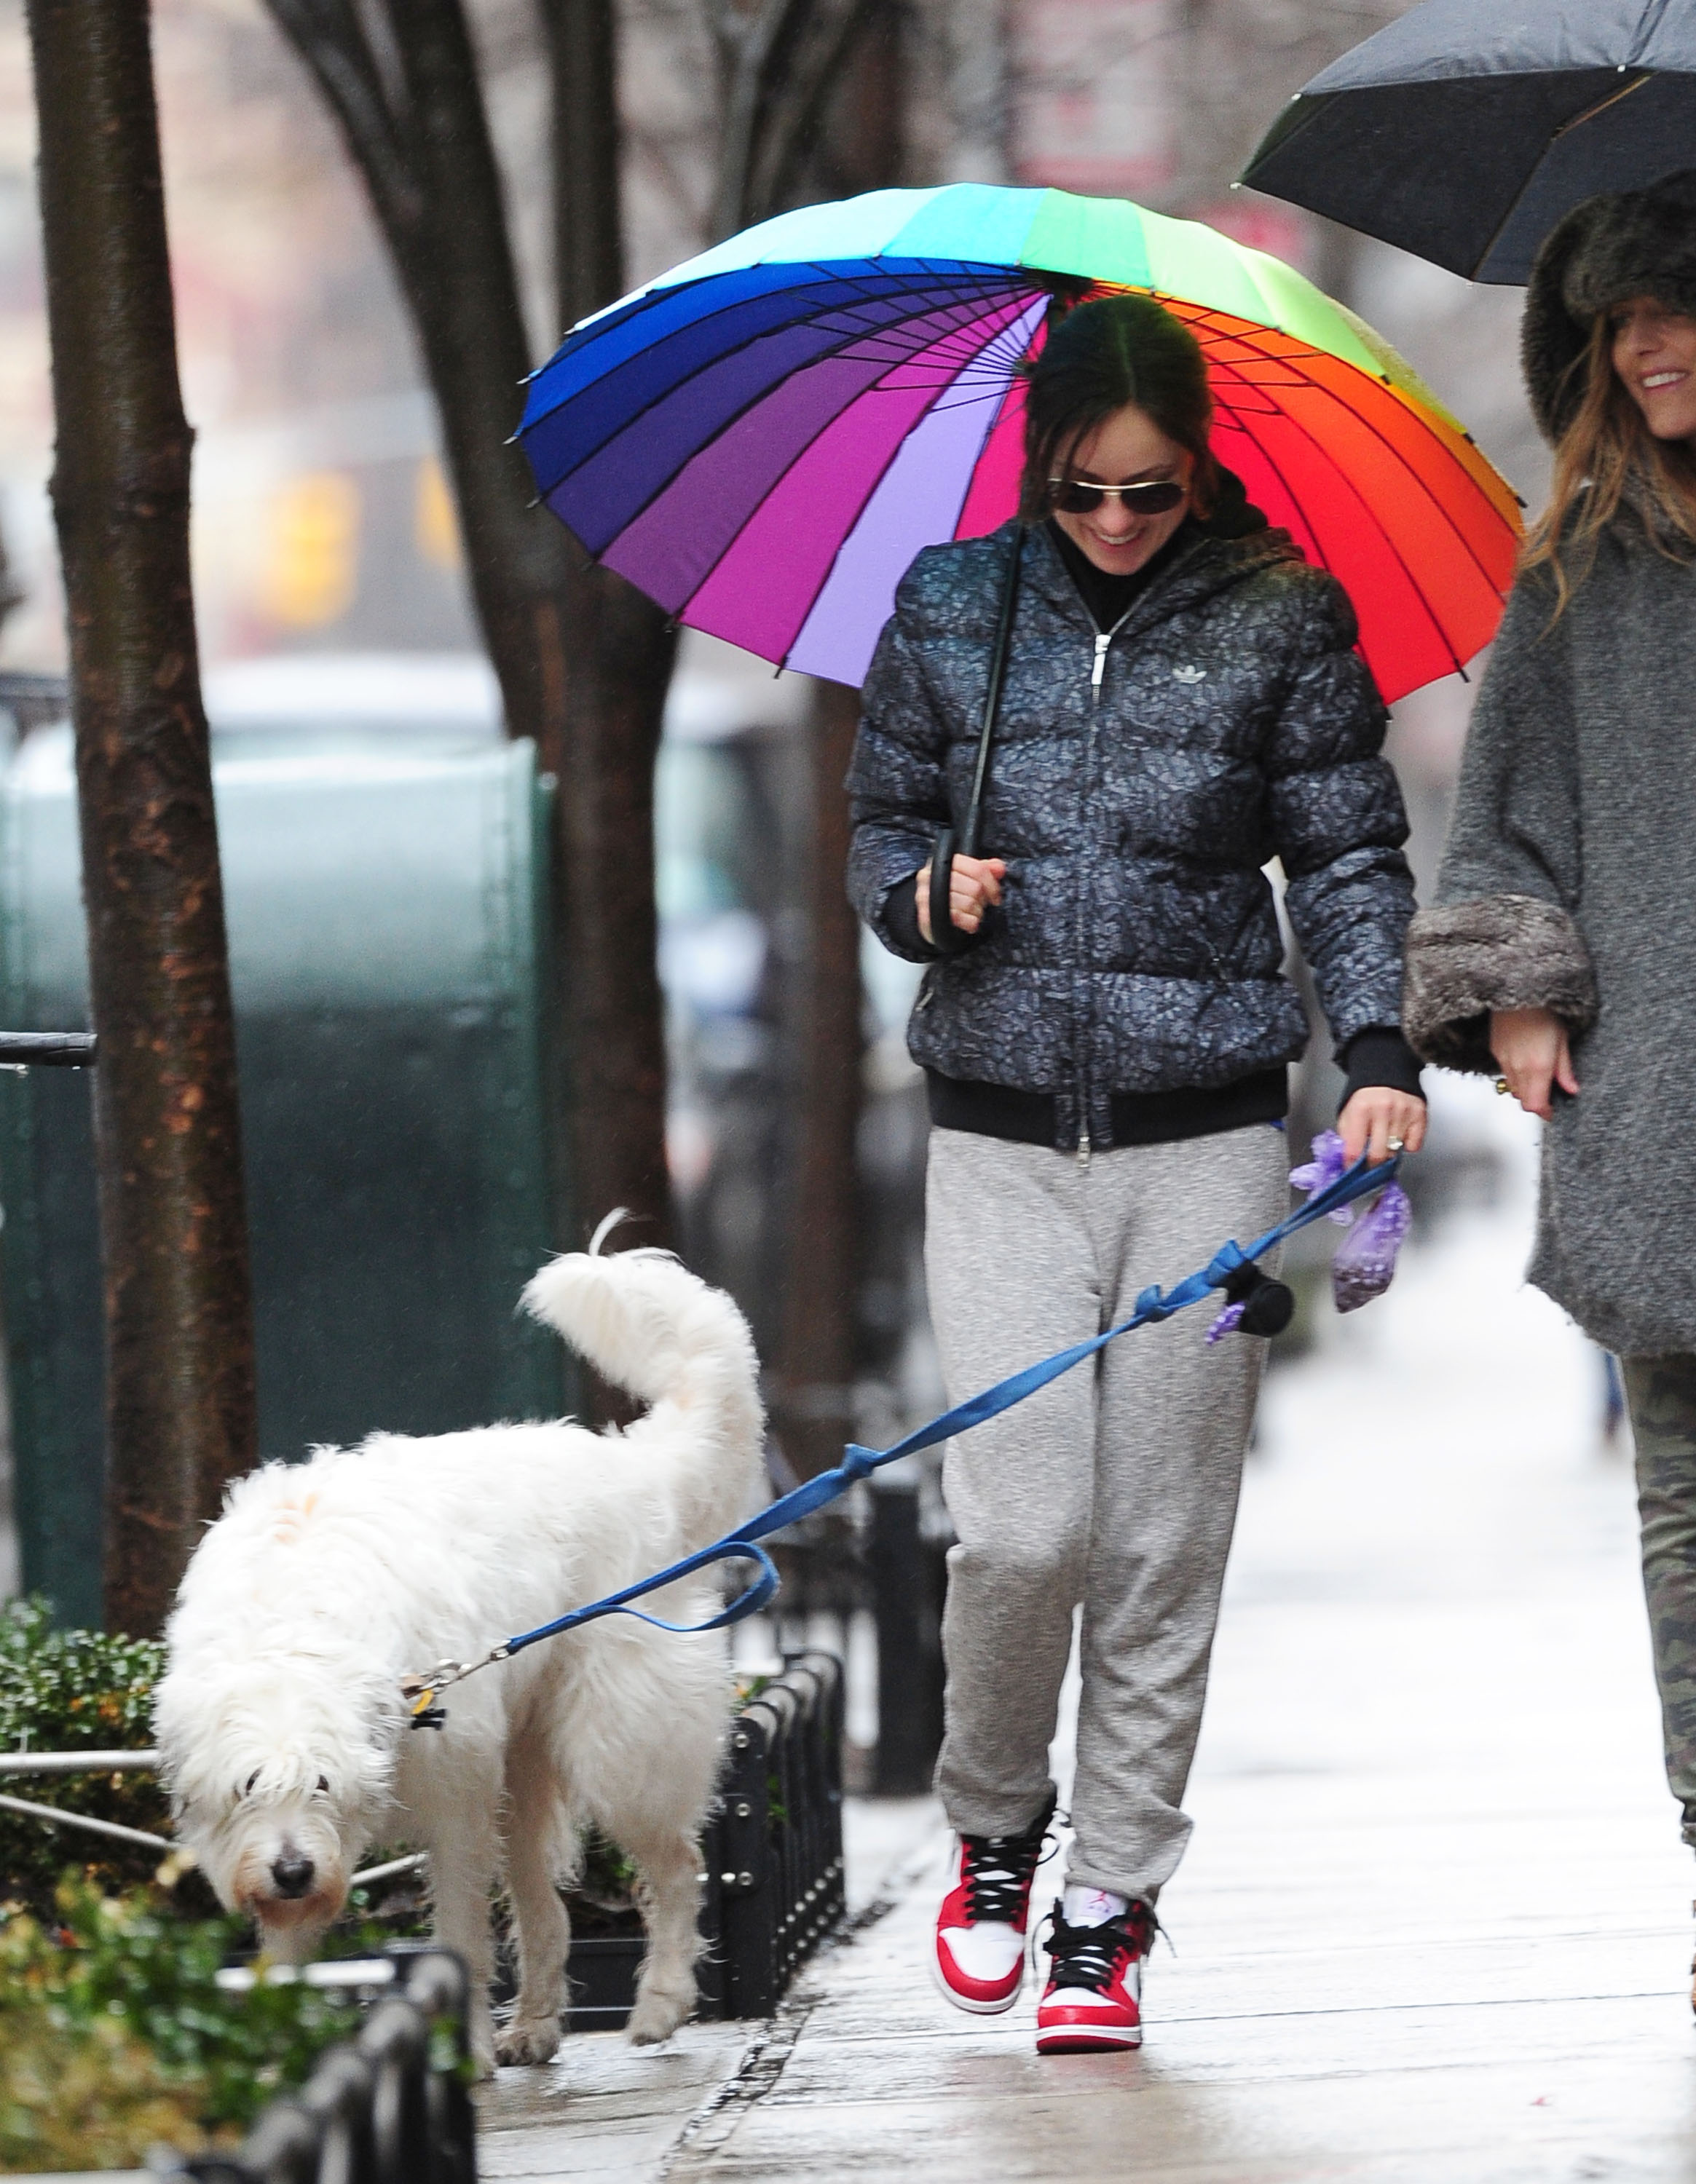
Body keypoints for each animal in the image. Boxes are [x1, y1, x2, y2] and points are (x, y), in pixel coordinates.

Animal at [155, 1241, 765, 2070]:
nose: (292, 1871)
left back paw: (661, 2001)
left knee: (675, 1866)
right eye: (250, 1786)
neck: (290, 1624)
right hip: (526, 1770)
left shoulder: (456, 1810)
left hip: (619, 1747)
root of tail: (633, 1464)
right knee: (548, 1909)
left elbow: (462, 1945)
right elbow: (288, 1957)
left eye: (321, 1783)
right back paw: (536, 2024)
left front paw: (461, 2052)